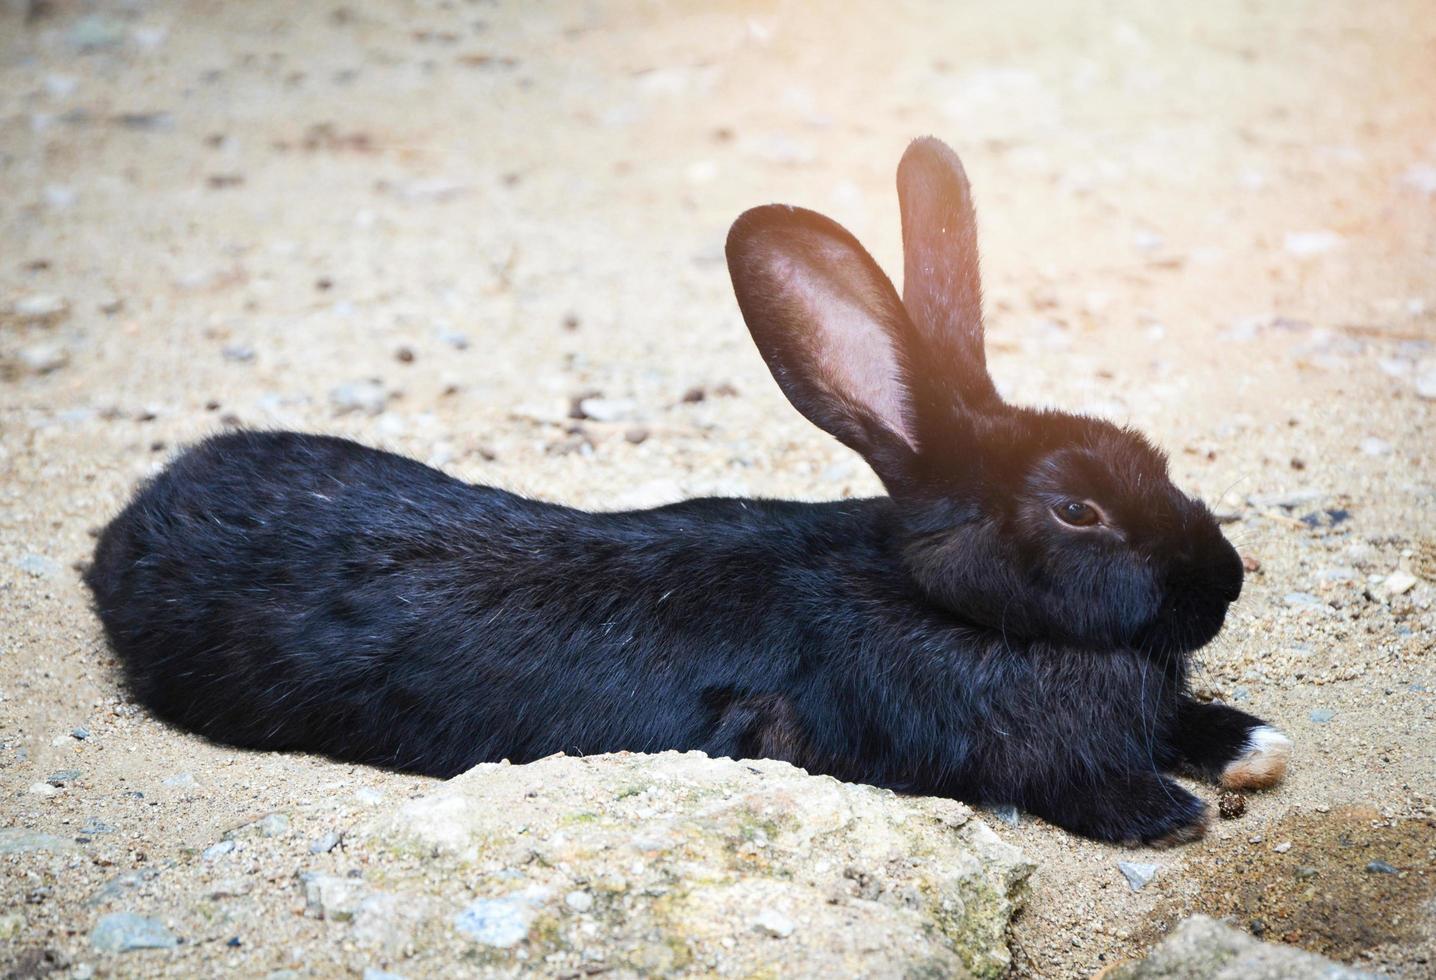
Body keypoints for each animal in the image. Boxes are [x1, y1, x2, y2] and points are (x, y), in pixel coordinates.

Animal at [86, 135, 1292, 839]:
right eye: (1076, 508)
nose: (1224, 581)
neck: (938, 605)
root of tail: (126, 528)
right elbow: (1069, 781)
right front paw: (1167, 814)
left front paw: (1252, 743)